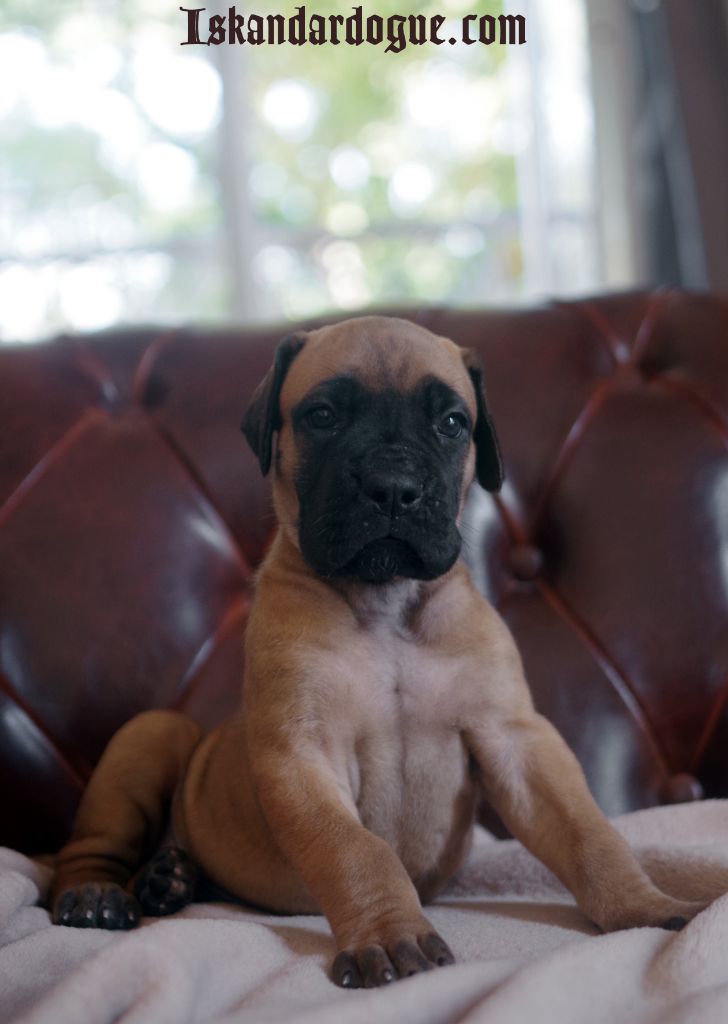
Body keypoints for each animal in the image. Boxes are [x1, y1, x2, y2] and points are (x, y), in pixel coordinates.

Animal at [51, 316, 708, 988]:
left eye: (453, 422)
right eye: (321, 415)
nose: (393, 489)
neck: (388, 603)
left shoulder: (517, 741)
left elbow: (589, 833)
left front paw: (644, 905)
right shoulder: (301, 755)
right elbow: (355, 849)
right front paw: (393, 935)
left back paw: (167, 879)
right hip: (149, 734)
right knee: (83, 850)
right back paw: (100, 895)